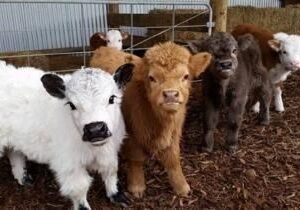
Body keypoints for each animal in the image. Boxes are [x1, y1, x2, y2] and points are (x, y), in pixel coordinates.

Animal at [0, 61, 134, 209]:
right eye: (71, 105)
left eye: (112, 98)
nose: (95, 129)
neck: (94, 149)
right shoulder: (69, 164)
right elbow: (79, 188)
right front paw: (83, 207)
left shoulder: (110, 151)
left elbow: (110, 170)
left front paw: (116, 194)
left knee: (14, 152)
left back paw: (23, 178)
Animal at [121, 41, 211, 198]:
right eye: (152, 78)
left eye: (186, 76)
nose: (170, 95)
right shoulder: (132, 134)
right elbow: (136, 159)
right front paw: (136, 186)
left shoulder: (174, 134)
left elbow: (173, 160)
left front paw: (181, 186)